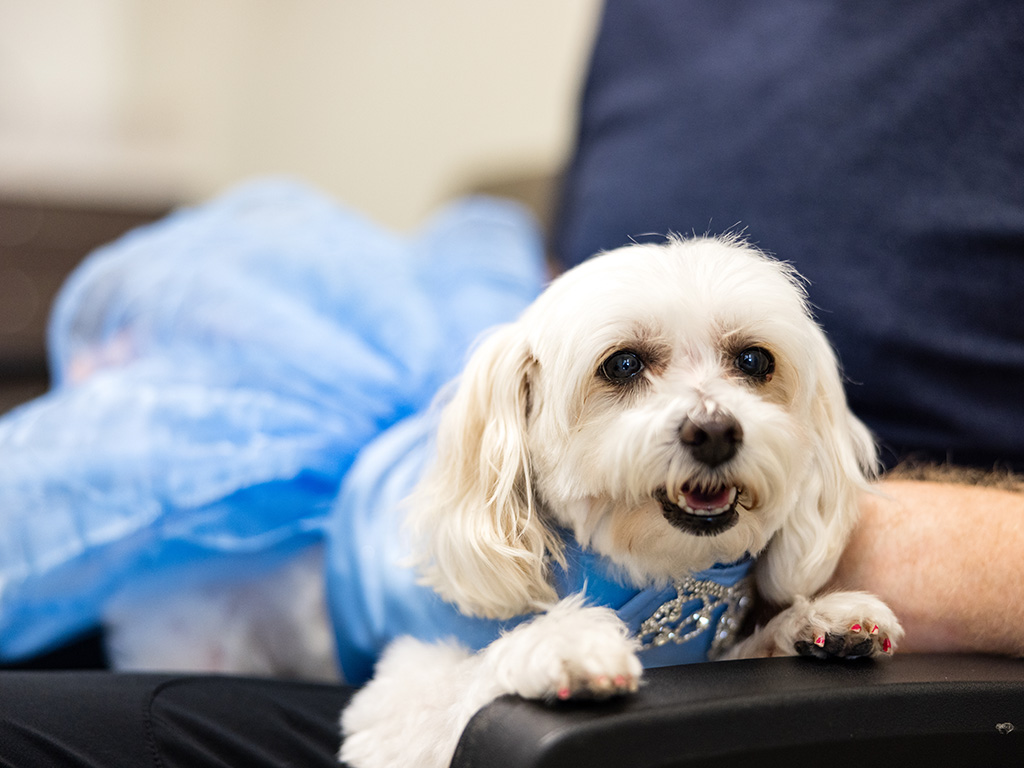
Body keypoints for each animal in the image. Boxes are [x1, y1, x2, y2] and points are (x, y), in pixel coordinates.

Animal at [105, 236, 905, 768]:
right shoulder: (395, 713)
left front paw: (815, 622)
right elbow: (477, 671)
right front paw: (562, 644)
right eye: (622, 364)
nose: (714, 429)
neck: (652, 579)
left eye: (753, 361)